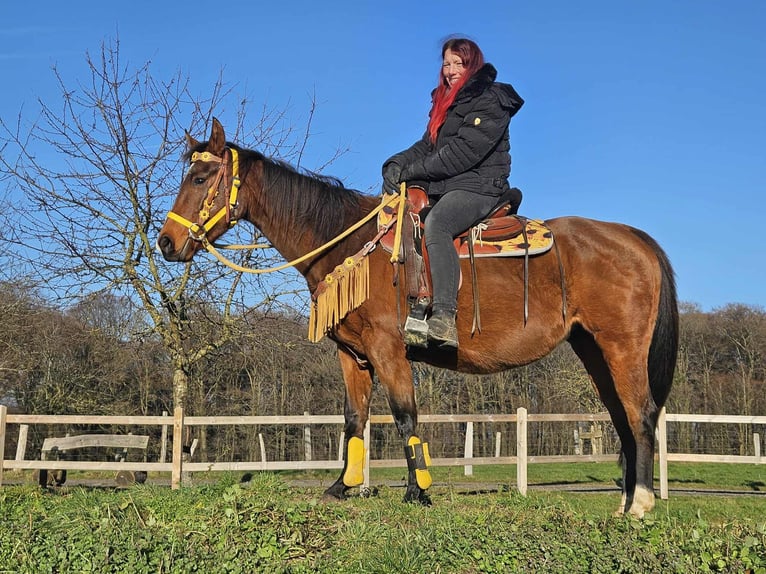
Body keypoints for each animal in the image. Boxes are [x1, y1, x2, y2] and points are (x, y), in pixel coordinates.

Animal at [157, 118, 678, 518]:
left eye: (200, 179)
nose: (166, 243)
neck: (348, 244)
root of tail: (636, 240)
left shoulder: (389, 349)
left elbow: (404, 415)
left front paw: (416, 491)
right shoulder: (353, 355)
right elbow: (354, 419)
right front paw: (342, 487)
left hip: (622, 348)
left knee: (641, 414)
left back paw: (641, 504)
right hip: (594, 350)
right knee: (622, 417)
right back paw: (625, 502)